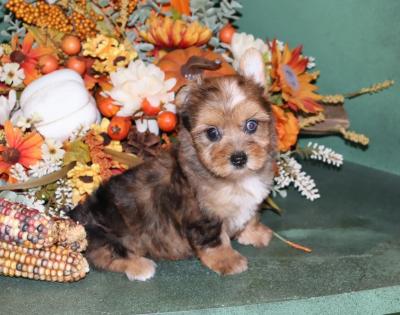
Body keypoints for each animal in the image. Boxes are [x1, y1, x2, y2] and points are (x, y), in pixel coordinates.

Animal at [69, 49, 276, 282]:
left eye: (252, 125)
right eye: (212, 133)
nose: (239, 158)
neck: (236, 179)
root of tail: (77, 215)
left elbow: (249, 216)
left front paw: (255, 232)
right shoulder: (203, 217)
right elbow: (215, 241)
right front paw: (228, 260)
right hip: (103, 229)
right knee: (106, 253)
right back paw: (140, 266)